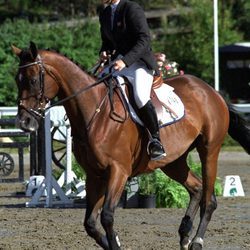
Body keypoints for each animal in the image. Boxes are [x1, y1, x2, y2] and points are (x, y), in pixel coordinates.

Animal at [12, 41, 250, 250]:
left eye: (32, 80)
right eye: (17, 79)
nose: (24, 122)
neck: (95, 112)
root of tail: (211, 91)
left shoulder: (118, 171)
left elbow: (107, 216)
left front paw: (115, 242)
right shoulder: (94, 174)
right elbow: (91, 223)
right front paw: (115, 241)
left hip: (209, 150)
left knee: (209, 199)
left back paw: (196, 241)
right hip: (172, 162)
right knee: (197, 188)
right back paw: (184, 235)